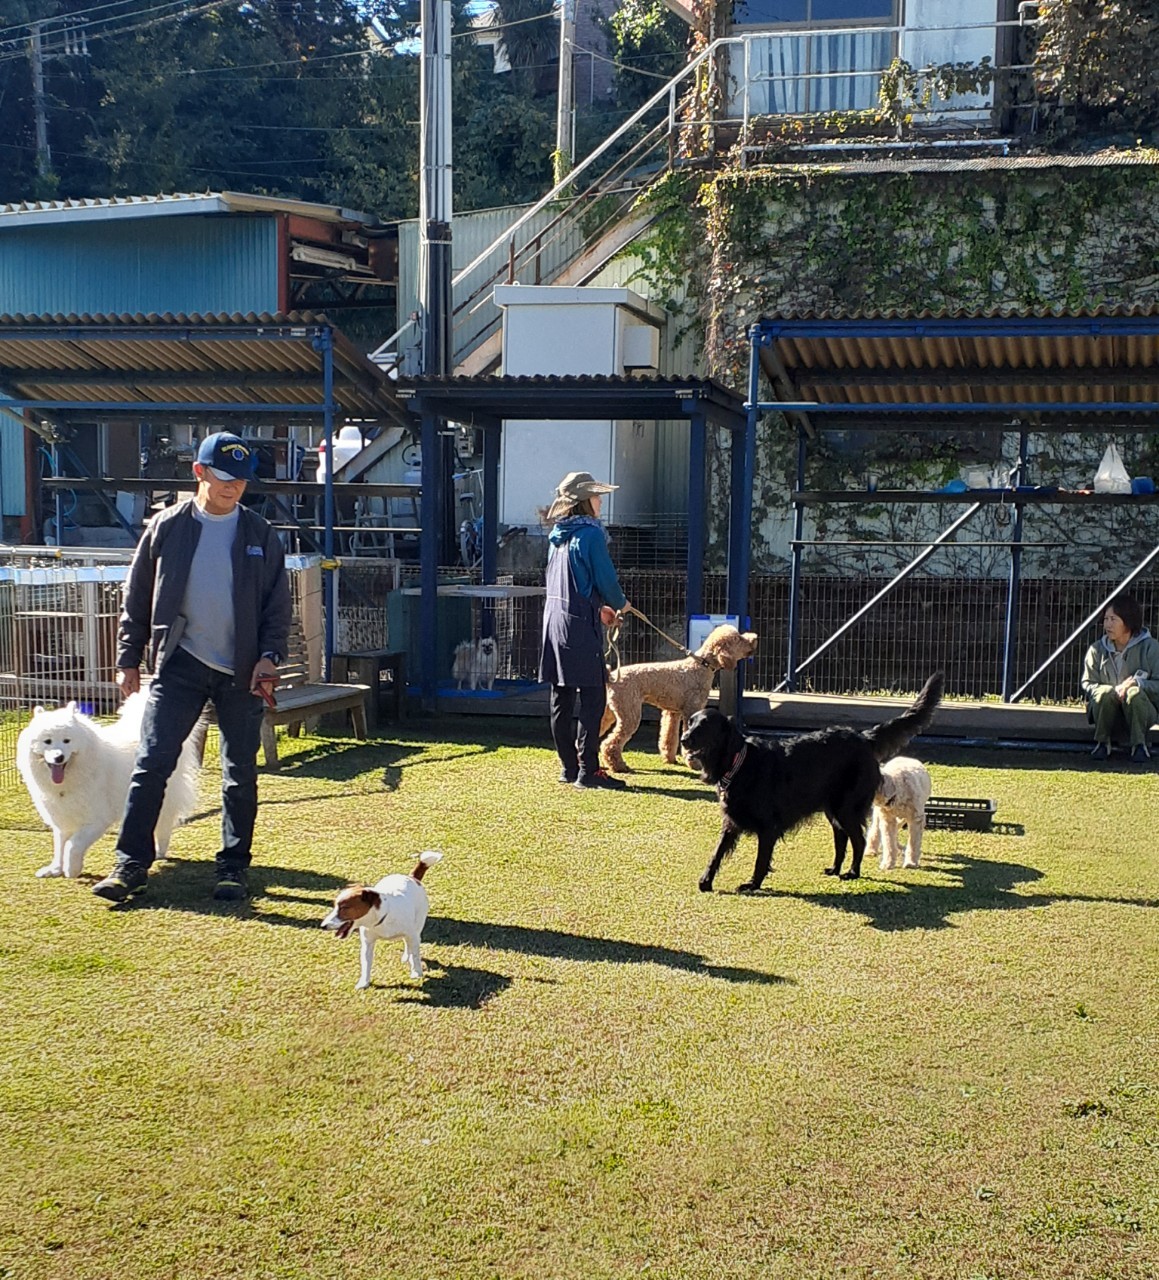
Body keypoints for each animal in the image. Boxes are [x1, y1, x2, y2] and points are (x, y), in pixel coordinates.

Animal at [16, 694, 200, 879]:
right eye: (47, 741)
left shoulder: (97, 820)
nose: (58, 757)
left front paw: (72, 869)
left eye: (66, 741)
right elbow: (60, 845)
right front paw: (55, 869)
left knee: (163, 826)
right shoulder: (62, 818)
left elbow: (72, 844)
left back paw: (159, 851)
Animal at [321, 851, 443, 988]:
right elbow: (366, 963)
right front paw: (364, 982)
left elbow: (416, 955)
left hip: (418, 925)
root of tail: (412, 877)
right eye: (335, 906)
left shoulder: (412, 935)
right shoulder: (367, 943)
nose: (323, 926)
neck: (379, 920)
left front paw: (416, 972)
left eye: (344, 907)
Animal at [599, 625, 759, 772]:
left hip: (609, 712)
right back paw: (618, 765)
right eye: (738, 638)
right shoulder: (691, 711)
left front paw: (669, 759)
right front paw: (694, 764)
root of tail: (611, 677)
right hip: (629, 713)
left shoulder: (672, 713)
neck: (701, 666)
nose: (755, 638)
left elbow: (669, 738)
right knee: (610, 743)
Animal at [681, 672, 944, 893]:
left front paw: (753, 884)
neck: (739, 762)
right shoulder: (731, 823)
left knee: (858, 840)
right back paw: (835, 869)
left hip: (846, 808)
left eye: (704, 726)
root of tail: (864, 738)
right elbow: (716, 853)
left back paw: (852, 872)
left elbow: (760, 860)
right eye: (690, 722)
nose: (683, 739)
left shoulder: (767, 827)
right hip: (833, 810)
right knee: (842, 839)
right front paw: (706, 881)